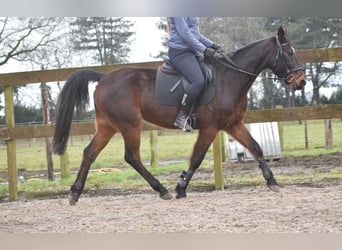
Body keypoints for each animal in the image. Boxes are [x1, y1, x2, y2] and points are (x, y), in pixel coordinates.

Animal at [52, 26, 304, 205]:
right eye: (289, 52)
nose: (301, 82)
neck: (229, 78)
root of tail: (103, 77)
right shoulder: (211, 127)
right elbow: (197, 157)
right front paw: (181, 187)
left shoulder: (232, 124)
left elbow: (256, 147)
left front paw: (272, 182)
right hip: (130, 125)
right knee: (132, 157)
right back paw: (162, 190)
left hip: (107, 126)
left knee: (89, 153)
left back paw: (75, 193)